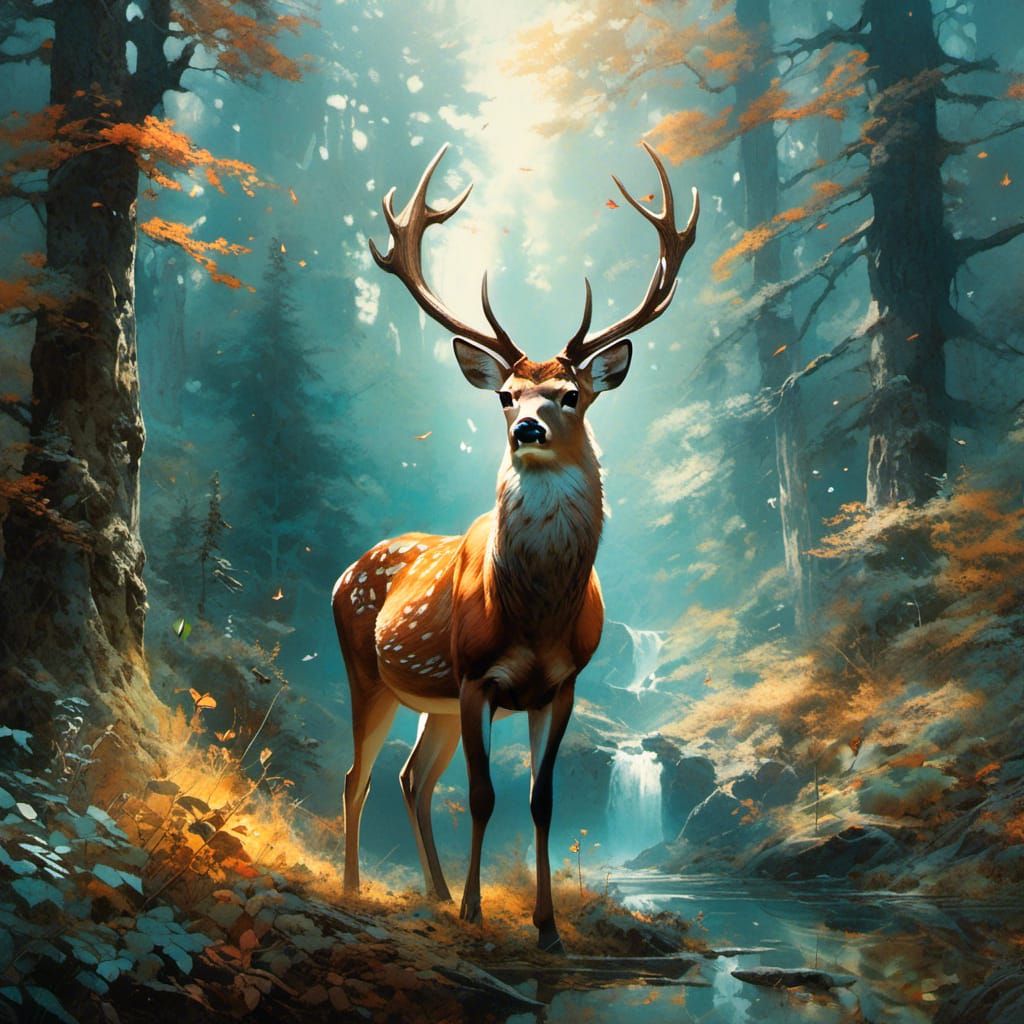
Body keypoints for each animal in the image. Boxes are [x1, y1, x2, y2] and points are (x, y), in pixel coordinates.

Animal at [332, 141, 698, 953]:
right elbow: (482, 795)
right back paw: (356, 889)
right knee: (358, 776)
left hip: (431, 700)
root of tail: (344, 572)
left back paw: (433, 895)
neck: (534, 615)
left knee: (411, 778)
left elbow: (540, 800)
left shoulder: (561, 683)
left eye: (570, 394)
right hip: (369, 673)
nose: (527, 427)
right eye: (506, 395)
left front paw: (547, 927)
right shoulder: (476, 675)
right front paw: (477, 913)